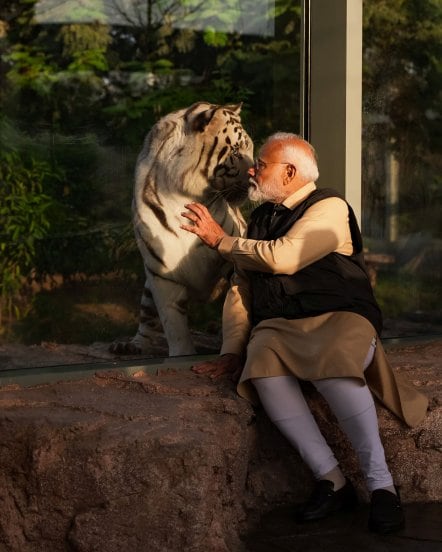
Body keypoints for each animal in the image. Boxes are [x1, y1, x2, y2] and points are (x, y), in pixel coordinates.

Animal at [110, 101, 252, 356]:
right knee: (147, 319)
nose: (257, 173)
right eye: (236, 152)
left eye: (250, 147)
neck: (186, 197)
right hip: (148, 288)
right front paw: (182, 354)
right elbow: (173, 324)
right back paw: (130, 345)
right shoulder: (161, 273)